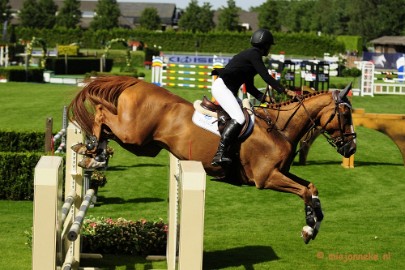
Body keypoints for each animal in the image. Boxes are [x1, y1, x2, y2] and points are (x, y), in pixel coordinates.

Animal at [68, 75, 356, 243]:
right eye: (344, 114)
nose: (351, 148)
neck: (279, 128)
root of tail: (136, 83)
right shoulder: (267, 178)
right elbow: (304, 191)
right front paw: (310, 228)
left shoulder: (281, 173)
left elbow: (311, 188)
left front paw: (313, 225)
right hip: (134, 136)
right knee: (102, 114)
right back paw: (92, 154)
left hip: (145, 145)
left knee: (106, 122)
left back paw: (92, 152)